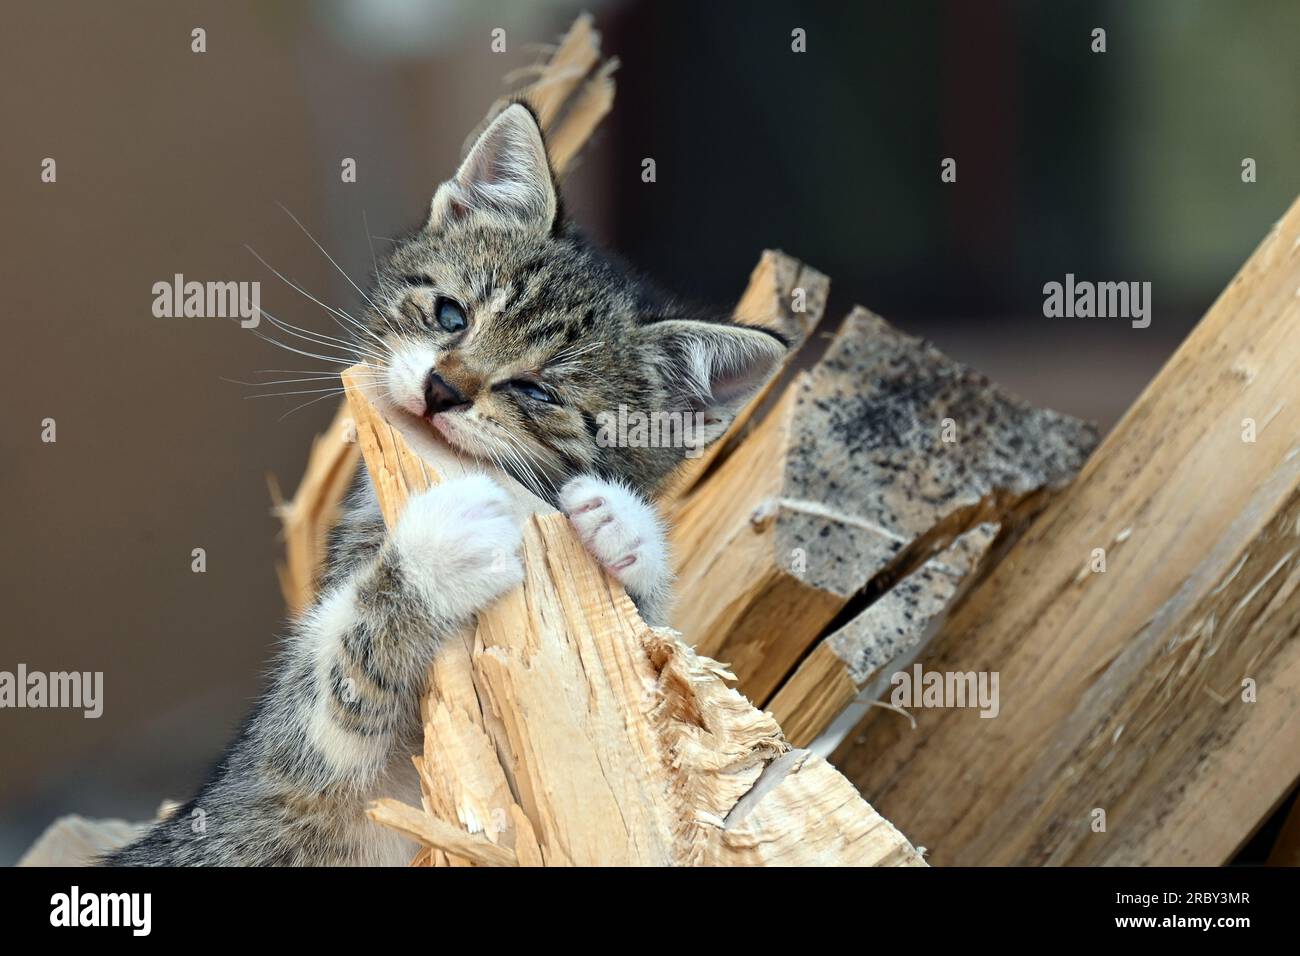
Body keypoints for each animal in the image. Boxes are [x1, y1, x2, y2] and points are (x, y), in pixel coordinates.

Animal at [106, 104, 780, 868]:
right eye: (451, 314)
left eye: (537, 390)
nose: (441, 389)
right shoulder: (292, 760)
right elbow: (337, 675)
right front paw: (439, 551)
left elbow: (652, 657)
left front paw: (624, 527)